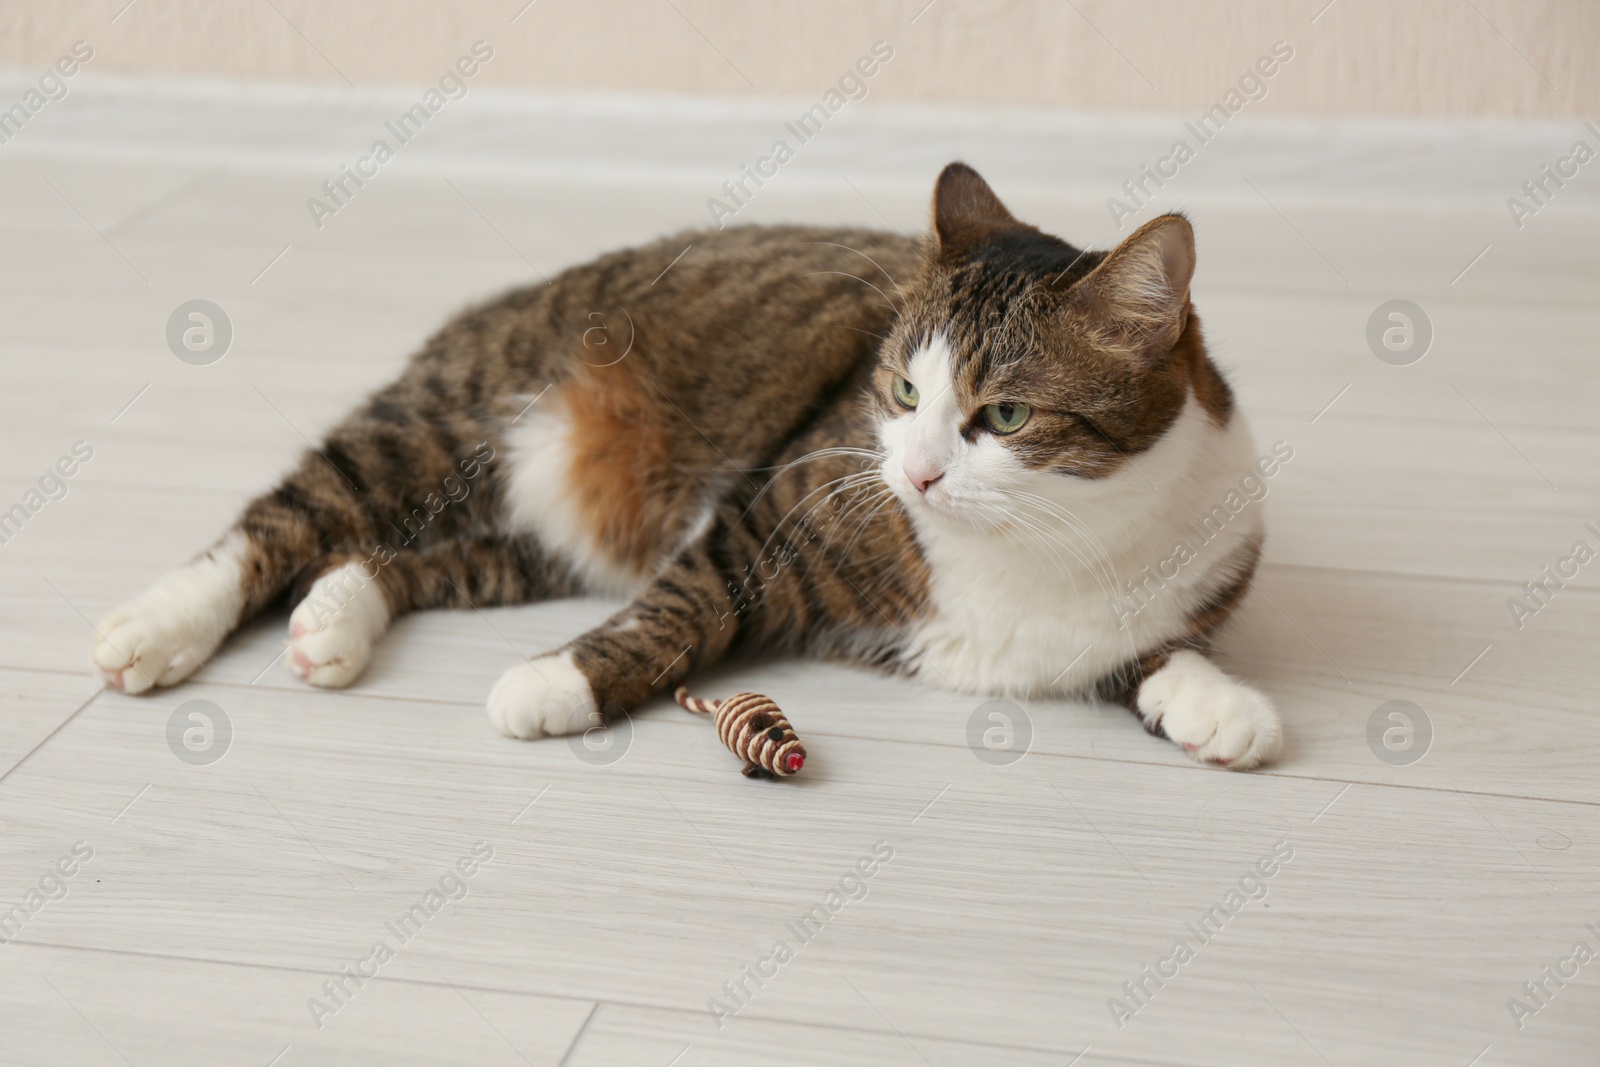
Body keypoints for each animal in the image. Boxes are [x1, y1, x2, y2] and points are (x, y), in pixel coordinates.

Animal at [93, 160, 1280, 767]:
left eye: (1008, 413)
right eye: (902, 392)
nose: (915, 476)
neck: (1043, 541)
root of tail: (503, 298)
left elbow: (1154, 649)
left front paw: (1217, 701)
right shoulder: (767, 511)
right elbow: (679, 609)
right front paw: (553, 682)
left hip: (550, 538)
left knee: (411, 555)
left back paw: (333, 619)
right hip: (451, 416)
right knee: (288, 515)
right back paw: (158, 625)